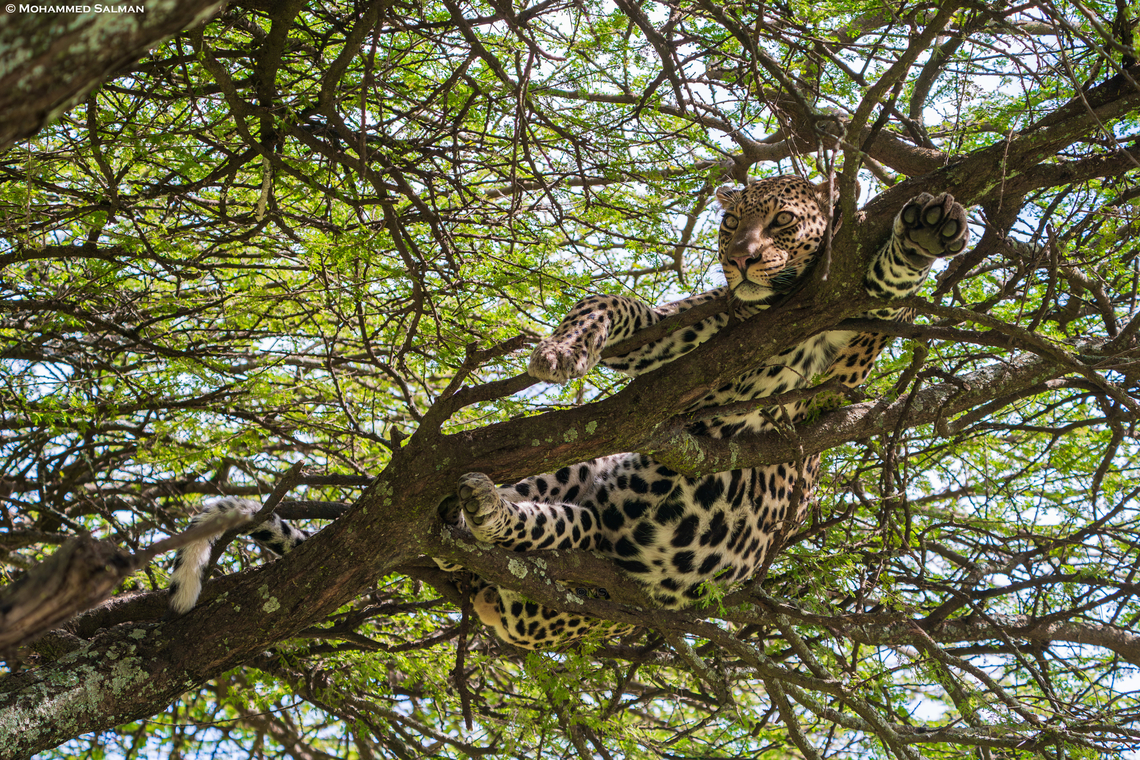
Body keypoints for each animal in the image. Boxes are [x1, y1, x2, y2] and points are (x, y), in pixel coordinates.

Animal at [167, 176, 969, 650]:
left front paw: (927, 232)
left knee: (535, 534)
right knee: (528, 522)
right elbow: (612, 303)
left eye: (780, 222)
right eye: (730, 224)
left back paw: (481, 511)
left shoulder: (824, 366)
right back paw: (475, 505)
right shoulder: (691, 340)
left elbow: (881, 295)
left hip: (593, 564)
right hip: (577, 496)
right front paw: (563, 349)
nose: (741, 259)